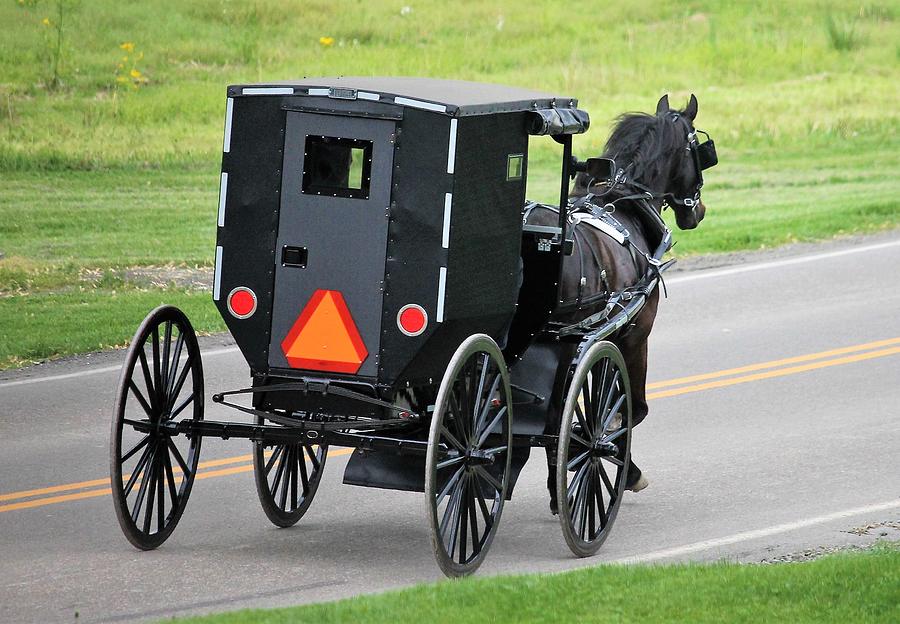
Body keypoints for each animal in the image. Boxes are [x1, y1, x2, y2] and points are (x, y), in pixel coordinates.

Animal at [524, 95, 712, 508]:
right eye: (699, 148)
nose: (698, 211)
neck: (622, 204)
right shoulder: (633, 336)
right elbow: (628, 410)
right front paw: (623, 467)